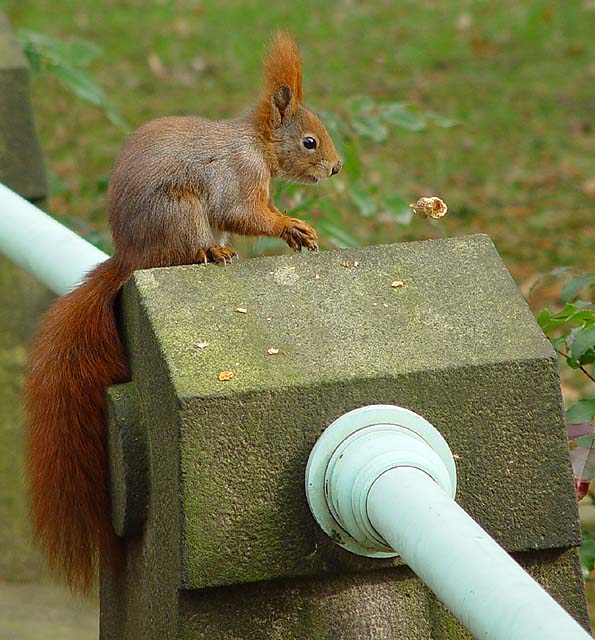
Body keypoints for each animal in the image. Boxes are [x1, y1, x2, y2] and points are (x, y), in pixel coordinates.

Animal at [23, 28, 342, 592]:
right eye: (309, 142)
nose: (335, 167)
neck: (256, 146)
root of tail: (132, 257)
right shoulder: (237, 178)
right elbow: (244, 211)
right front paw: (290, 225)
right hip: (183, 212)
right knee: (190, 248)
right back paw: (212, 253)